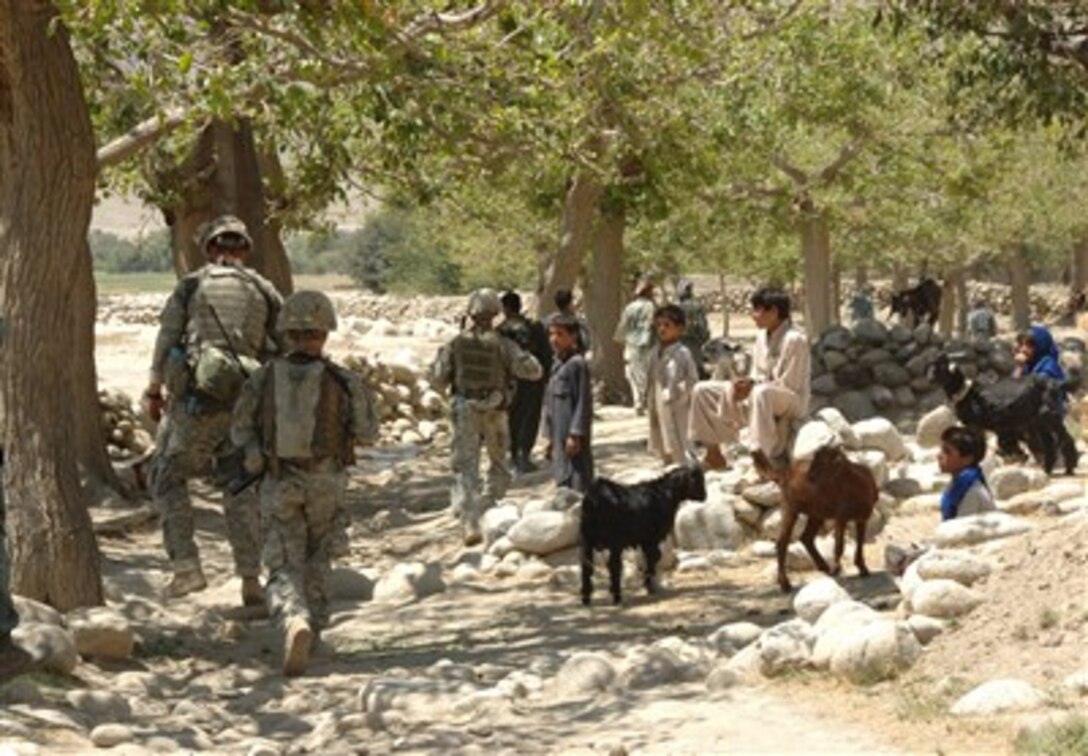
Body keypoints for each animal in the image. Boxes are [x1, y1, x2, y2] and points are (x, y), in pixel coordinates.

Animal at [578, 463, 705, 604]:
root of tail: (594, 499)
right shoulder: (652, 538)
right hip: (614, 541)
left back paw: (586, 597)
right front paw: (651, 587)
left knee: (586, 565)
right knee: (613, 565)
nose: (704, 496)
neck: (664, 493)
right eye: (696, 479)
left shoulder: (644, 540)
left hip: (587, 539)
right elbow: (653, 557)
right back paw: (617, 596)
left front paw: (649, 584)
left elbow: (648, 558)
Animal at [757, 445, 874, 596]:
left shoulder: (862, 517)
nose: (809, 476)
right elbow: (839, 545)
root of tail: (785, 474)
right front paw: (836, 569)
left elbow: (860, 544)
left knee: (806, 537)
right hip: (790, 506)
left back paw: (823, 567)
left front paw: (863, 569)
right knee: (782, 541)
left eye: (824, 461)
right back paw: (785, 584)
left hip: (816, 513)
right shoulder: (841, 516)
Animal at [926, 352, 1079, 474]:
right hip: (1037, 420)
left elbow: (978, 445)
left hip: (1049, 415)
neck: (967, 393)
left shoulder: (975, 425)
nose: (930, 379)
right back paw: (1048, 469)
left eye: (941, 367)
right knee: (1049, 443)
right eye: (931, 366)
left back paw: (1069, 468)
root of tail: (1055, 383)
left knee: (1065, 438)